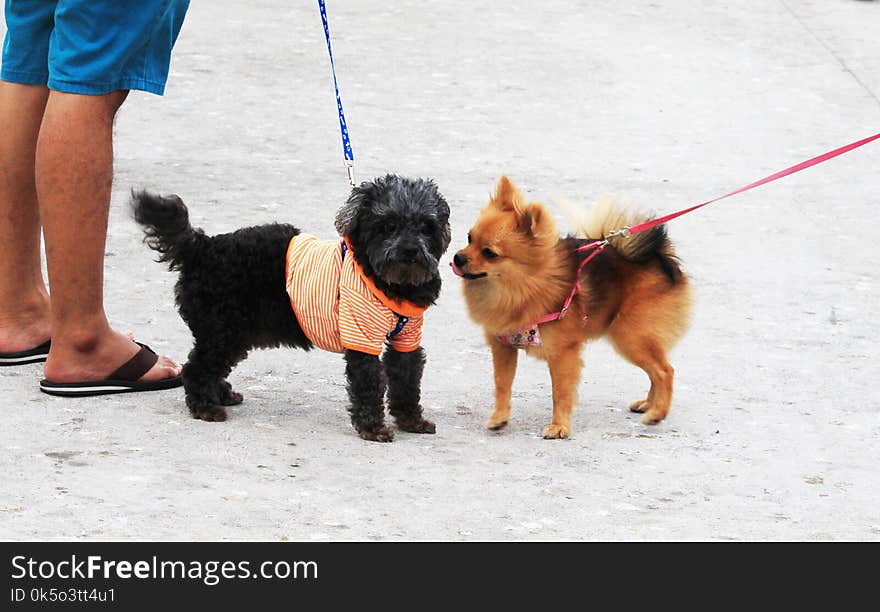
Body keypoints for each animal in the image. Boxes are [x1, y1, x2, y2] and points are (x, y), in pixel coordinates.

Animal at [134, 175, 450, 442]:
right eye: (388, 225)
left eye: (426, 226)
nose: (410, 250)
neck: (391, 283)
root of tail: (201, 247)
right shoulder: (361, 338)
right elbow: (370, 383)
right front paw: (373, 428)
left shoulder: (406, 338)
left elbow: (406, 379)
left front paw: (411, 421)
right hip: (223, 332)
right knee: (196, 368)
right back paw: (205, 407)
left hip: (231, 334)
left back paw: (220, 395)